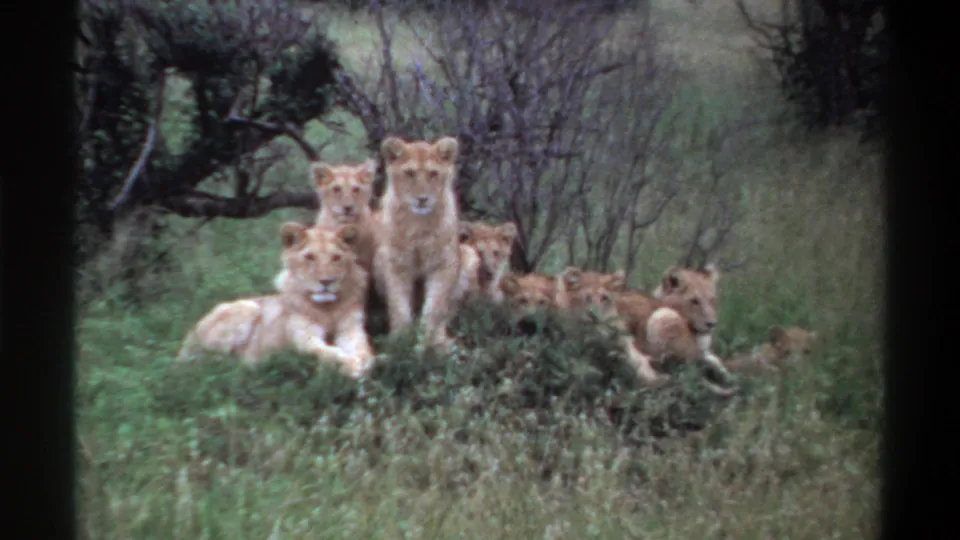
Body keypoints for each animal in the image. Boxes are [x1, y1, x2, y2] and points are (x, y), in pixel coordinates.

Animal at [178, 223, 376, 379]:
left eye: (336, 258)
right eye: (309, 257)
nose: (326, 282)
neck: (327, 309)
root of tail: (188, 338)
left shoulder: (351, 329)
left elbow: (363, 349)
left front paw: (365, 362)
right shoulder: (303, 338)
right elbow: (327, 352)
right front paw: (351, 365)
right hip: (248, 307)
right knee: (208, 363)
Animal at [373, 136, 462, 349]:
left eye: (433, 173)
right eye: (410, 173)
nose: (422, 199)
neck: (418, 225)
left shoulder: (444, 264)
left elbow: (435, 307)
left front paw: (429, 342)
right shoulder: (395, 264)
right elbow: (399, 306)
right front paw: (400, 341)